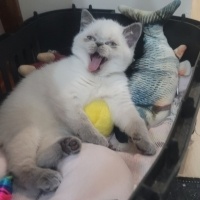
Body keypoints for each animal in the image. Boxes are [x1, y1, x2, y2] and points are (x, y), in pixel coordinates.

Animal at [0, 9, 155, 194]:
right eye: (91, 38)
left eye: (111, 44)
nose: (98, 44)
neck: (98, 77)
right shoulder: (69, 100)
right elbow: (84, 123)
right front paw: (99, 140)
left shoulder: (120, 104)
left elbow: (137, 123)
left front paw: (147, 144)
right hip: (28, 131)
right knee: (20, 169)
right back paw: (48, 177)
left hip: (55, 131)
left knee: (40, 158)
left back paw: (69, 145)